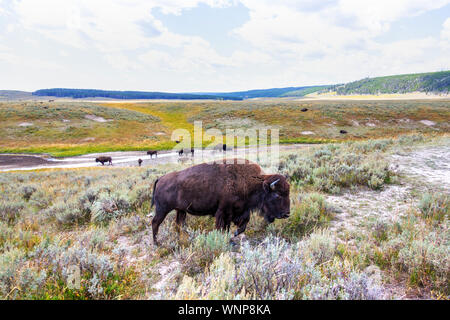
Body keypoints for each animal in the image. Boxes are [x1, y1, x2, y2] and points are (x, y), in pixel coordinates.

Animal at [150, 159, 292, 244]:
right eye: (277, 195)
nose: (287, 214)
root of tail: (160, 179)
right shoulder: (224, 212)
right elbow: (223, 227)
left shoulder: (241, 211)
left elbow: (242, 225)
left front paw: (233, 235)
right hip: (162, 209)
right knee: (155, 222)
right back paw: (157, 243)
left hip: (181, 210)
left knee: (179, 224)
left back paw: (183, 239)